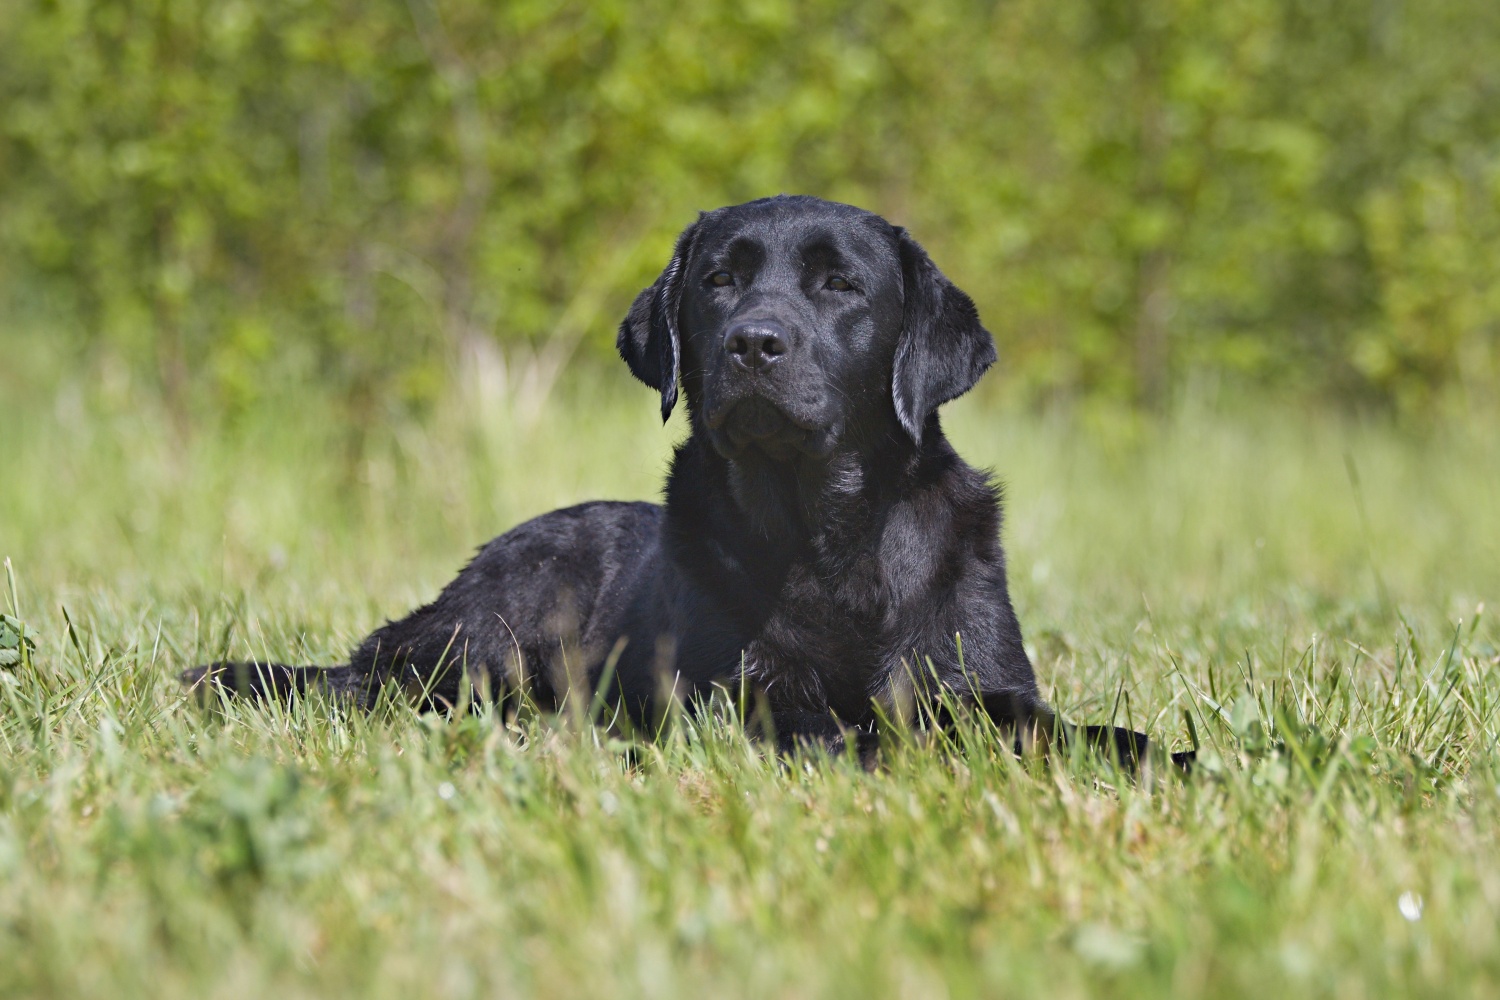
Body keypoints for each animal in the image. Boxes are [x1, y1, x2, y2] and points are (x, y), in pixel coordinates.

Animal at [184, 197, 1182, 773]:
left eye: (840, 284)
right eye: (718, 280)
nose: (754, 342)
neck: (828, 536)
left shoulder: (983, 674)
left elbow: (1046, 723)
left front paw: (1158, 755)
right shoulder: (736, 698)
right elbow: (839, 728)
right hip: (493, 629)